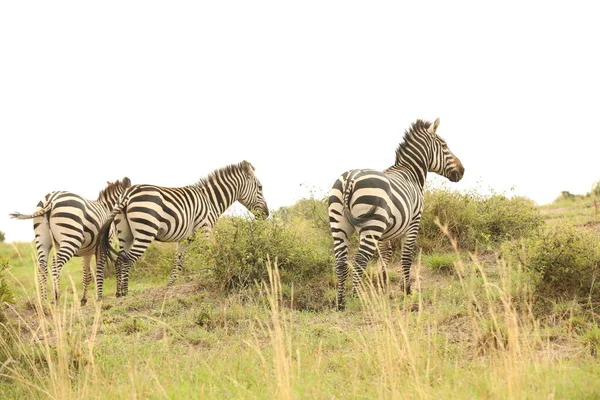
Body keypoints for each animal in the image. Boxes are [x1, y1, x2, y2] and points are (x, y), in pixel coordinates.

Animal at [98, 161, 270, 298]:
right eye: (260, 187)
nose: (267, 214)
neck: (210, 200)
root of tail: (127, 193)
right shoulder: (205, 231)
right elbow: (208, 256)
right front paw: (211, 276)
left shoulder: (186, 238)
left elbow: (178, 262)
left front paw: (169, 285)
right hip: (145, 231)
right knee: (127, 260)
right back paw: (125, 293)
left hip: (125, 234)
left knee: (119, 259)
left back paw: (119, 293)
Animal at [328, 119, 464, 310]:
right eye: (444, 145)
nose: (463, 171)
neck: (411, 174)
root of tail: (350, 179)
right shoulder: (414, 221)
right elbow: (406, 257)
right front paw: (407, 289)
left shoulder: (385, 233)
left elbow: (386, 256)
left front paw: (384, 287)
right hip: (371, 226)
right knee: (360, 260)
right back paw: (357, 297)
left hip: (339, 224)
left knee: (340, 262)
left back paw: (341, 303)